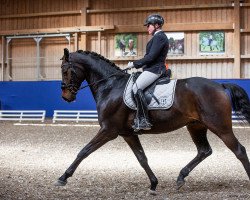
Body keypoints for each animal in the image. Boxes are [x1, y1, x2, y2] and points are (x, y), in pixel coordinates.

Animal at [56, 48, 250, 194]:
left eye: (65, 70)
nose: (66, 97)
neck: (110, 86)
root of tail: (219, 85)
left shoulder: (108, 130)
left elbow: (84, 151)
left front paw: (63, 177)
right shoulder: (127, 133)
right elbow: (142, 158)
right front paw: (154, 184)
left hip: (220, 127)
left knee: (239, 150)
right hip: (196, 126)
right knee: (204, 151)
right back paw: (181, 177)